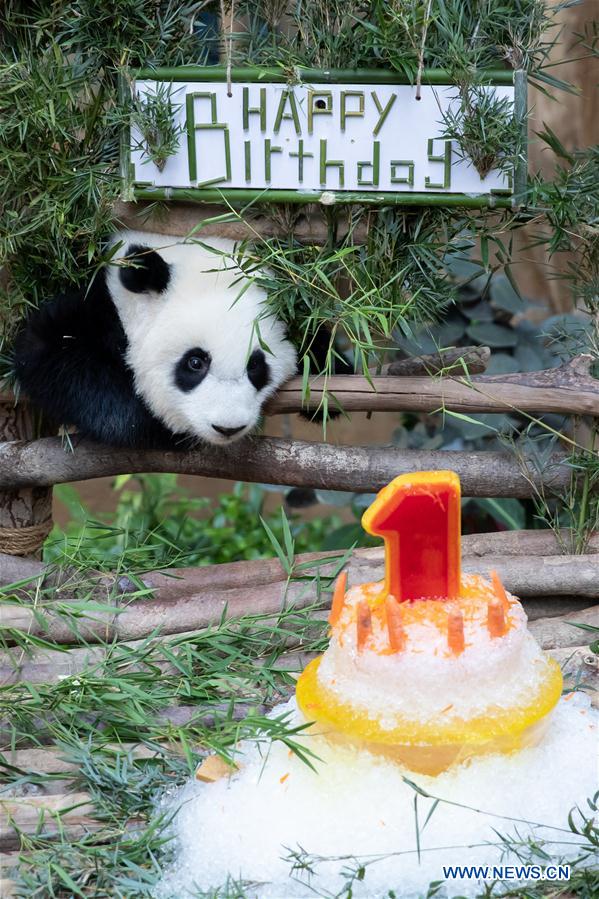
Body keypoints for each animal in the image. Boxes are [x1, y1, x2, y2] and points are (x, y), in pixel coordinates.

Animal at [15, 232, 300, 450]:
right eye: (195, 362)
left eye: (255, 366)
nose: (227, 427)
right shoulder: (97, 307)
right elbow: (48, 350)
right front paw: (156, 427)